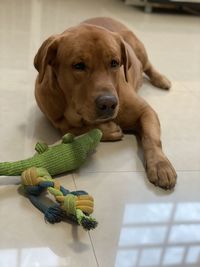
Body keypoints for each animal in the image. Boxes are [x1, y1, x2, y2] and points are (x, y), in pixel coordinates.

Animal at [34, 16, 177, 189]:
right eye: (78, 65)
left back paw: (161, 79)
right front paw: (108, 129)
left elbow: (152, 138)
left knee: (148, 66)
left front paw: (160, 164)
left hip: (139, 49)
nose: (108, 104)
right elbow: (71, 129)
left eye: (114, 63)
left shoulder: (145, 111)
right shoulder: (57, 120)